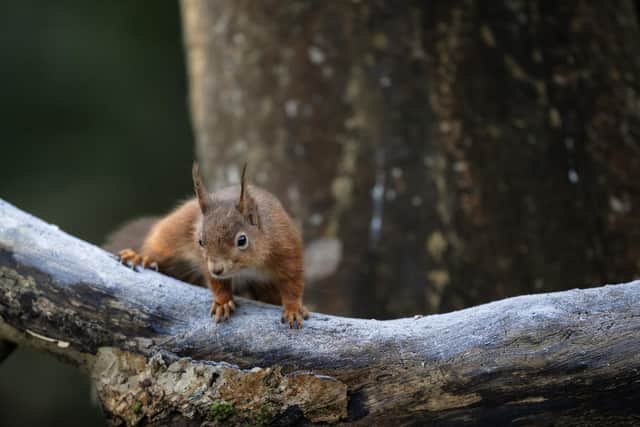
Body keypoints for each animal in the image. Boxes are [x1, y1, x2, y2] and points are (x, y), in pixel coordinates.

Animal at [109, 163, 309, 328]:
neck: (247, 267)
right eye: (200, 241)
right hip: (177, 226)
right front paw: (223, 301)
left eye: (242, 240)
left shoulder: (286, 248)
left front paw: (293, 308)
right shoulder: (205, 261)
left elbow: (292, 282)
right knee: (160, 246)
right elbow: (215, 282)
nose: (217, 269)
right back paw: (140, 256)